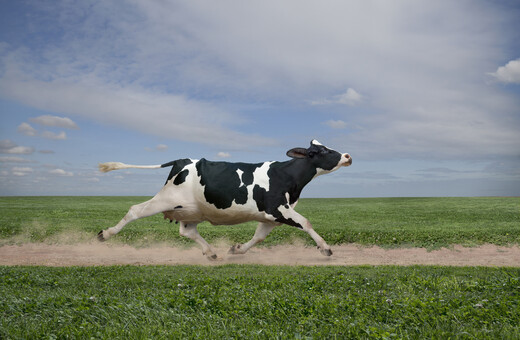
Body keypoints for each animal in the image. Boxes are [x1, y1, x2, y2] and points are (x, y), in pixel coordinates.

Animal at [96, 140, 352, 260]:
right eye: (322, 151)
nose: (347, 156)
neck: (286, 176)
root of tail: (182, 160)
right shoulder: (279, 208)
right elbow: (306, 222)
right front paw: (325, 249)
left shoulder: (270, 216)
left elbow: (258, 237)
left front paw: (236, 249)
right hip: (166, 199)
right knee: (135, 210)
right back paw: (105, 234)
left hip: (191, 210)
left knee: (187, 231)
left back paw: (211, 253)